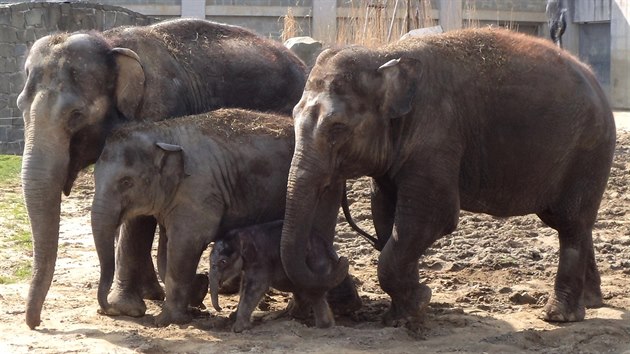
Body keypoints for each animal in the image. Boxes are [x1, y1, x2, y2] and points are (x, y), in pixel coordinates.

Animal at [16, 19, 308, 330]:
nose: (36, 324)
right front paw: (149, 295)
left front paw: (125, 308)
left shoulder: (160, 109)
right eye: (21, 106)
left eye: (76, 114)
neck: (110, 43)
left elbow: (139, 217)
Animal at [211, 220, 340, 334]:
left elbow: (256, 288)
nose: (220, 309)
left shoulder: (261, 260)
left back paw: (323, 326)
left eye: (223, 261)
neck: (244, 233)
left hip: (316, 263)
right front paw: (233, 317)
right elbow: (244, 287)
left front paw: (238, 329)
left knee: (314, 292)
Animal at [282, 29, 616, 328]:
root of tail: (597, 82)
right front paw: (404, 311)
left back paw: (560, 316)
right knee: (568, 221)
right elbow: (385, 215)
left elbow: (432, 216)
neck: (383, 55)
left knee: (570, 223)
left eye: (337, 127)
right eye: (294, 115)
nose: (341, 260)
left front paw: (417, 304)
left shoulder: (437, 135)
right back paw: (591, 302)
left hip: (589, 150)